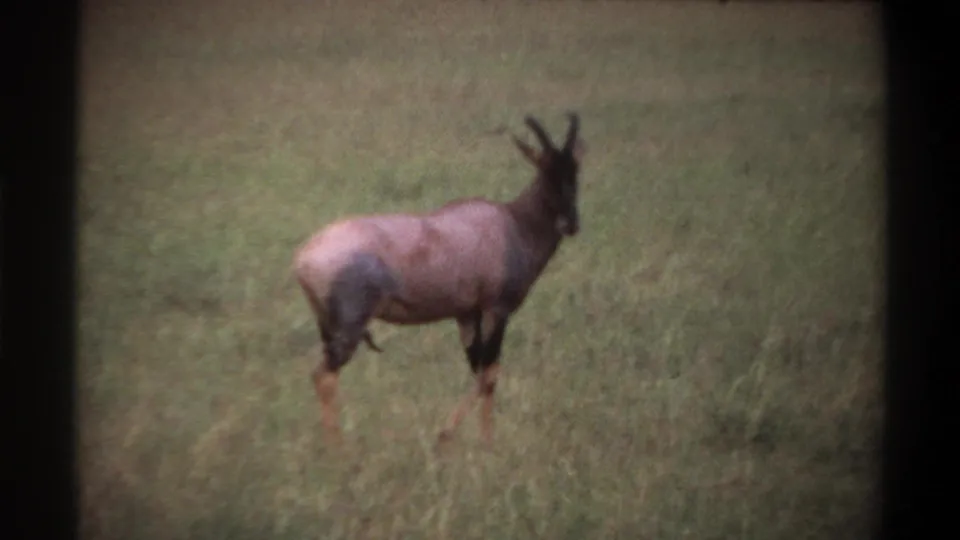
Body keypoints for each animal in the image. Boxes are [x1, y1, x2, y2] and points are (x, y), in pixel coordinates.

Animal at [293, 113, 584, 446]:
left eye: (574, 171)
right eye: (545, 171)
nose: (570, 223)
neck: (511, 223)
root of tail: (303, 259)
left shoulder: (467, 314)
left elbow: (478, 369)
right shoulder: (497, 310)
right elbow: (490, 374)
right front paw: (474, 441)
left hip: (327, 326)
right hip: (349, 327)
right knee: (324, 375)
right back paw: (338, 450)